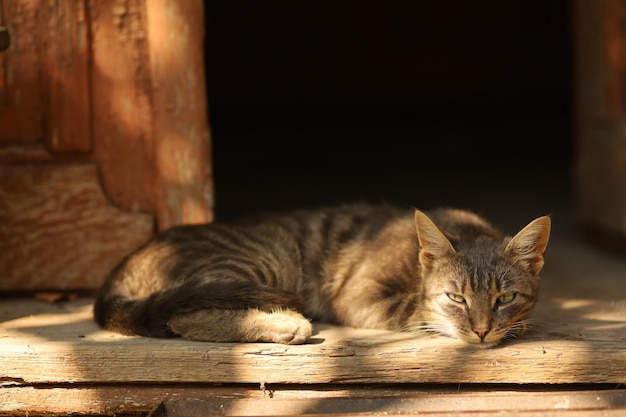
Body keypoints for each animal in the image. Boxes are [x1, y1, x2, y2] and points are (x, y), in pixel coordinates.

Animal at [91, 203, 544, 346]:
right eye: (456, 298)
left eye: (505, 298)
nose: (482, 330)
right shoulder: (360, 298)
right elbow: (417, 314)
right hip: (261, 258)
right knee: (185, 317)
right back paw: (285, 324)